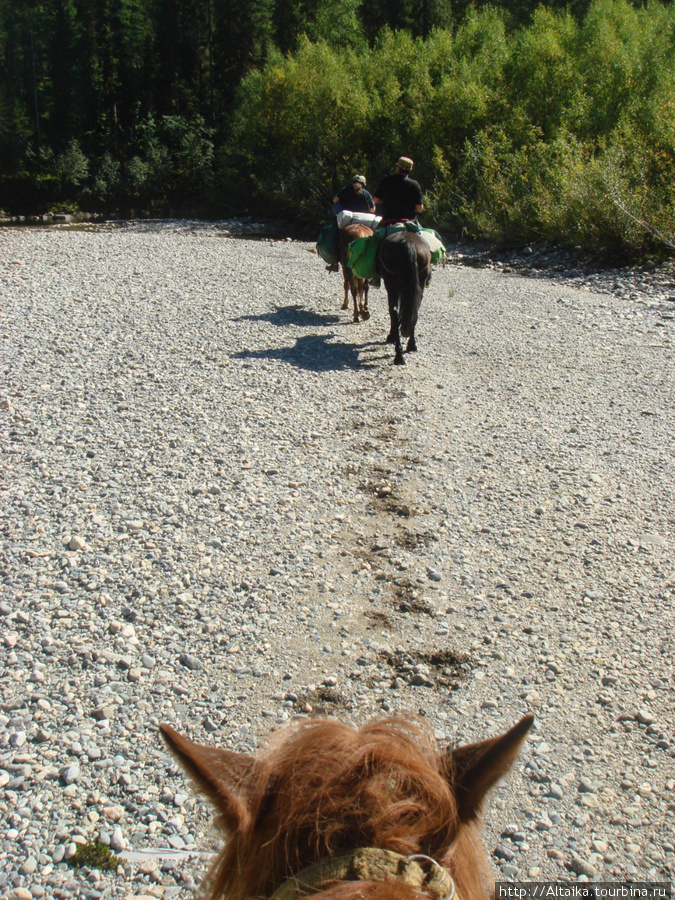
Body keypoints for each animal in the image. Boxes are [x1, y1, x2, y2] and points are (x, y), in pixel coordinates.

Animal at [378, 232, 430, 366]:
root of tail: (407, 241)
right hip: (417, 282)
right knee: (413, 311)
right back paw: (410, 346)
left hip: (391, 281)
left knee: (395, 311)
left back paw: (399, 354)